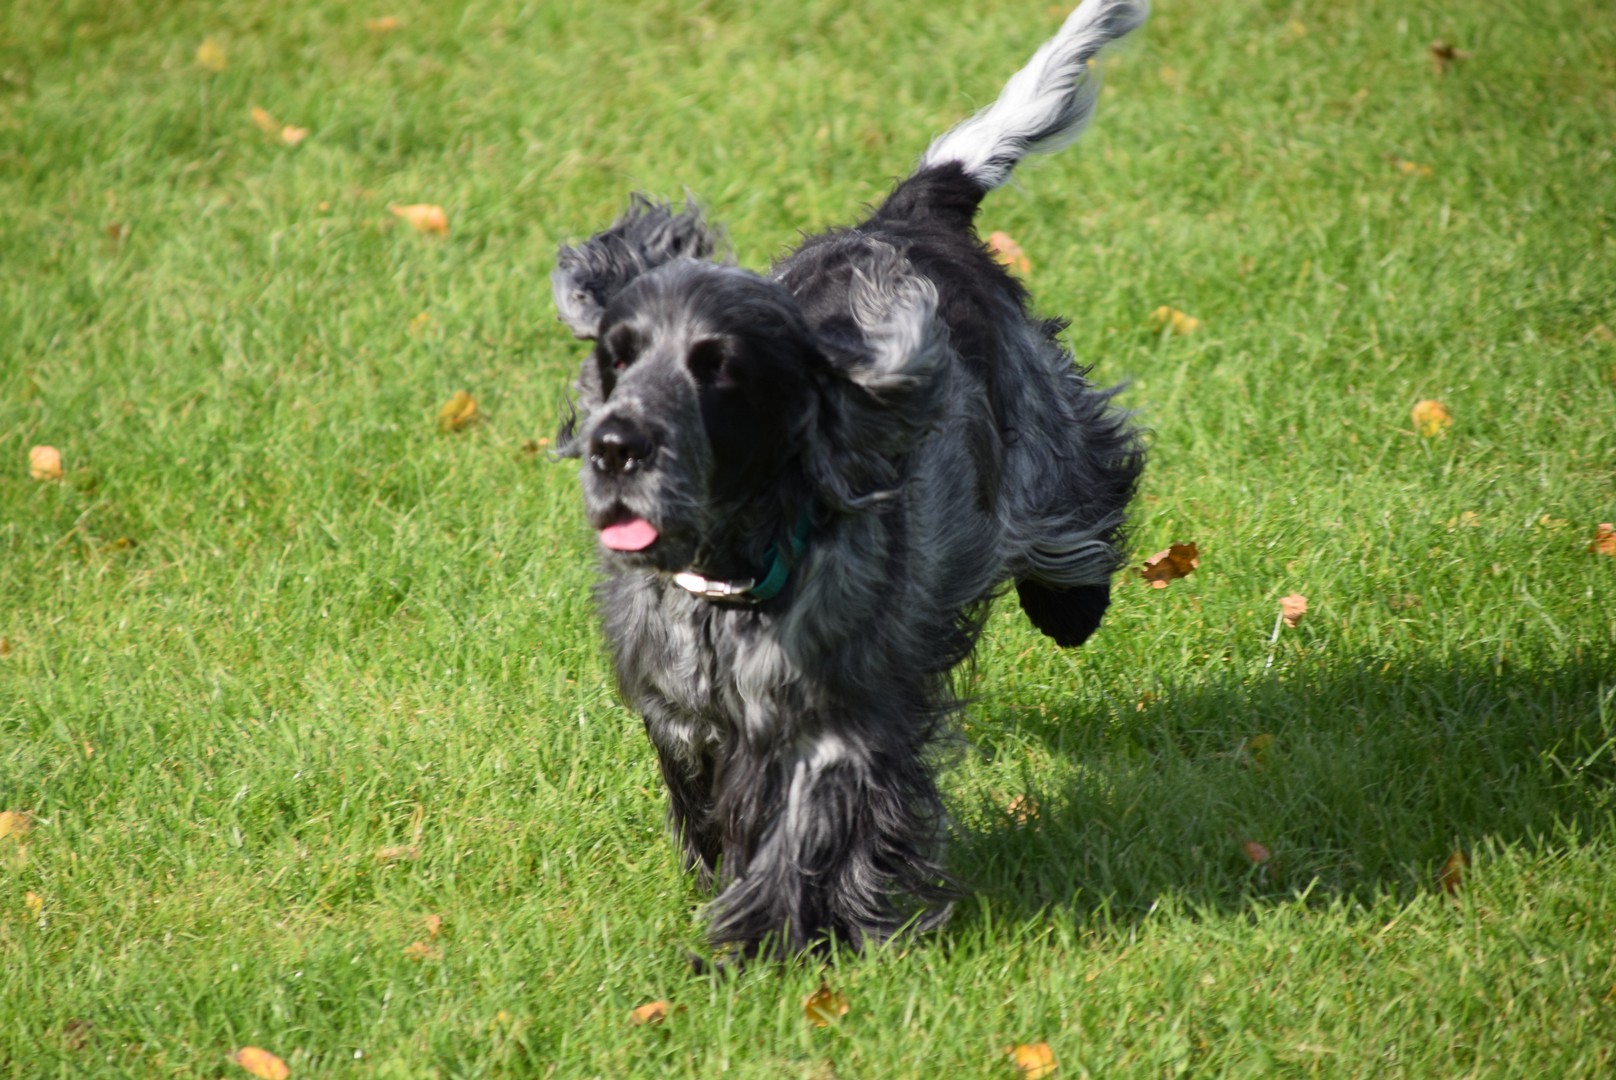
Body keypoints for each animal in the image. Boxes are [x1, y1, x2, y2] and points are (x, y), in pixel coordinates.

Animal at [552, 0, 1147, 957]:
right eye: (617, 354)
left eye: (719, 368)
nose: (615, 445)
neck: (730, 578)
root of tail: (913, 213)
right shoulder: (682, 714)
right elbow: (710, 800)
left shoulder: (841, 721)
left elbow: (811, 830)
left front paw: (767, 939)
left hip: (1042, 441)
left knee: (1078, 513)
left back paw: (1072, 607)